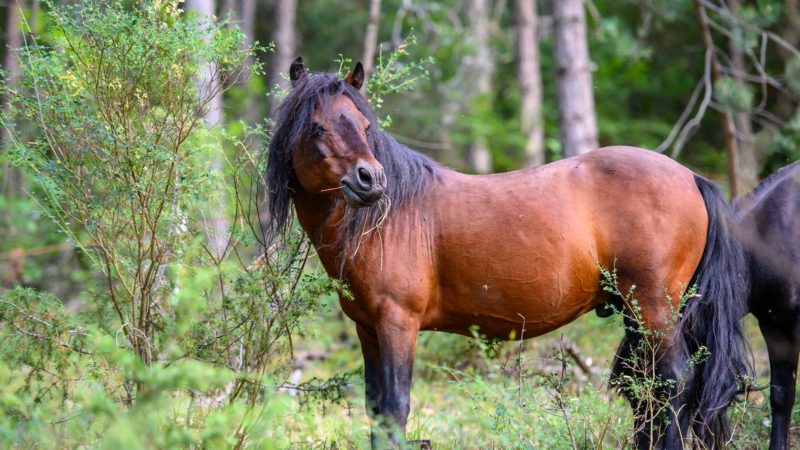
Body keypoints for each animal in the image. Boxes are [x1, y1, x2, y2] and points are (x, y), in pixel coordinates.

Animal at [266, 58, 752, 448]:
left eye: (366, 127)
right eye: (317, 127)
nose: (371, 180)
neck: (389, 218)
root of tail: (690, 177)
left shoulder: (397, 324)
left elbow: (396, 407)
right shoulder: (368, 328)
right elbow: (377, 412)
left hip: (653, 310)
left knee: (671, 384)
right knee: (645, 390)